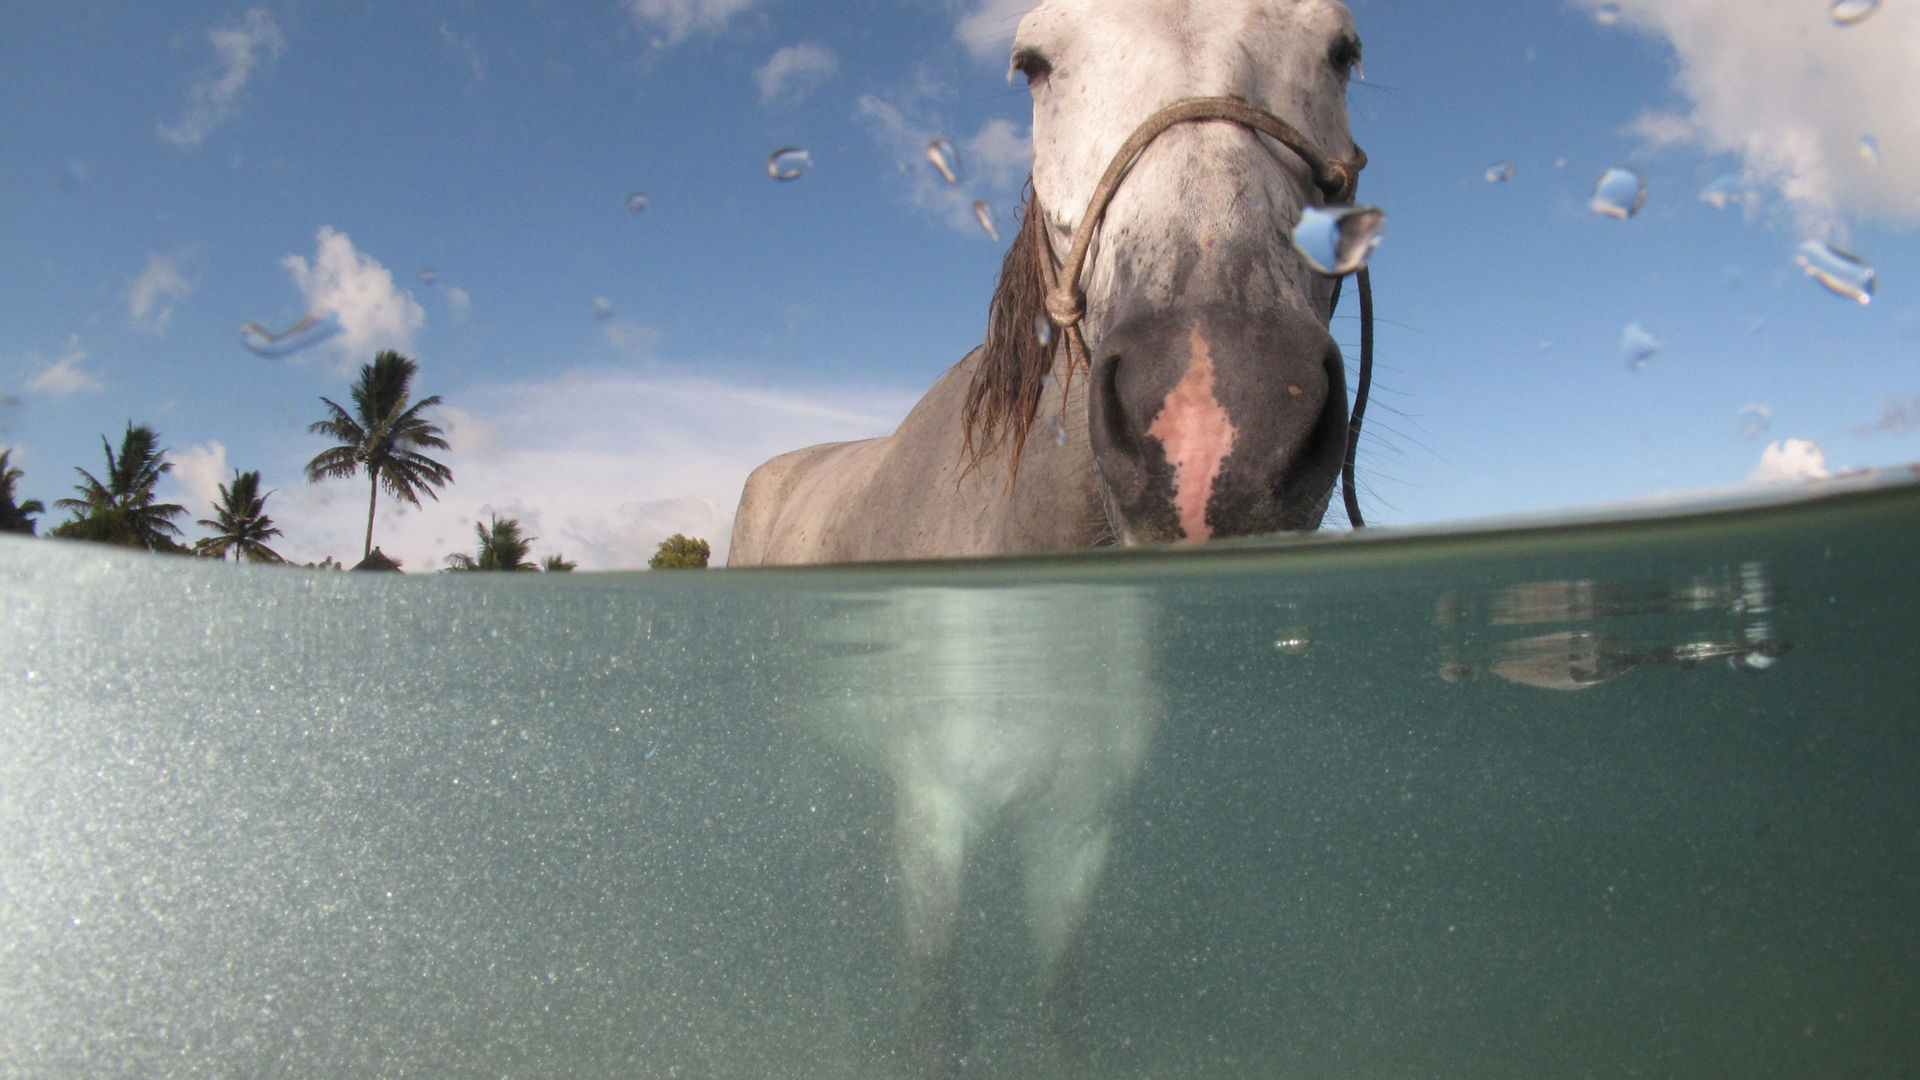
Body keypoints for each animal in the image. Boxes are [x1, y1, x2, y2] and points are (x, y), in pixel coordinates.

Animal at [725, 2, 1374, 1068]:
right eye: (1034, 62)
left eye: (1342, 50)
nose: (1216, 418)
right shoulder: (935, 820)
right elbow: (938, 1015)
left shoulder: (1073, 837)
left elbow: (1060, 1003)